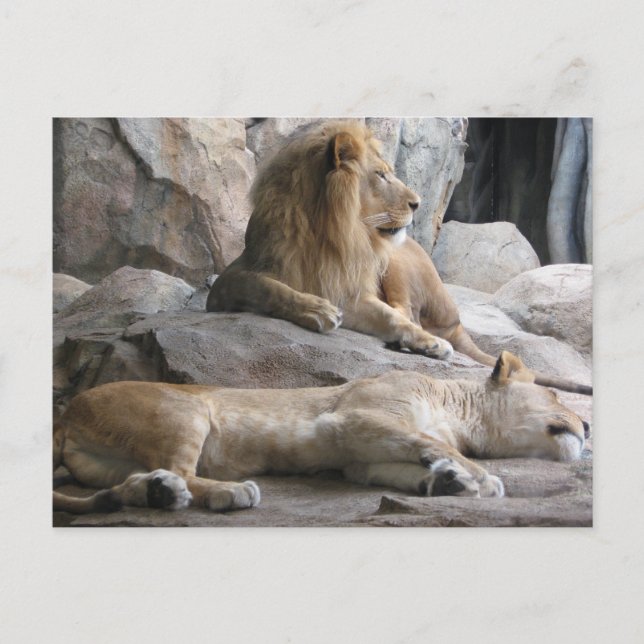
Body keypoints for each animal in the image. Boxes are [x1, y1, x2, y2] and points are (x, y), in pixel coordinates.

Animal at [53, 352, 590, 514]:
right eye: (556, 395)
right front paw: (479, 479)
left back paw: (156, 493)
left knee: (133, 480)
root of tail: (67, 413)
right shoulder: (354, 418)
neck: (456, 410)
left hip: (110, 463)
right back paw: (230, 492)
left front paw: (444, 481)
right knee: (184, 469)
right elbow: (432, 444)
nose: (587, 424)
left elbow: (400, 466)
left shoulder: (358, 457)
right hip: (185, 411)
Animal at [206, 120, 591, 396]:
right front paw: (317, 310)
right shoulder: (230, 280)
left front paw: (429, 344)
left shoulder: (352, 290)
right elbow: (271, 288)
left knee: (409, 311)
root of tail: (456, 318)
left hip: (396, 259)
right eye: (380, 175)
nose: (418, 203)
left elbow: (392, 317)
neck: (331, 232)